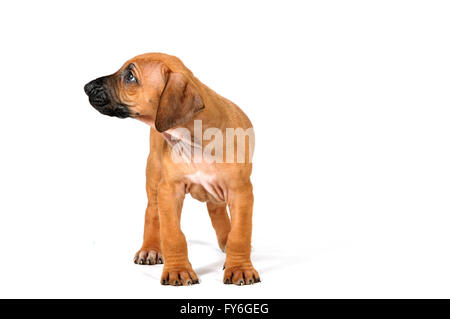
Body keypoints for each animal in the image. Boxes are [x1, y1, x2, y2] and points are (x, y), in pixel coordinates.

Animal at [85, 53, 260, 288]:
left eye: (130, 76)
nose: (86, 87)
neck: (194, 139)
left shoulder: (240, 191)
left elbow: (240, 233)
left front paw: (239, 267)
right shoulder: (169, 190)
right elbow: (172, 234)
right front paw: (178, 270)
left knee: (216, 210)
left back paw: (224, 240)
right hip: (154, 175)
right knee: (152, 212)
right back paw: (150, 249)